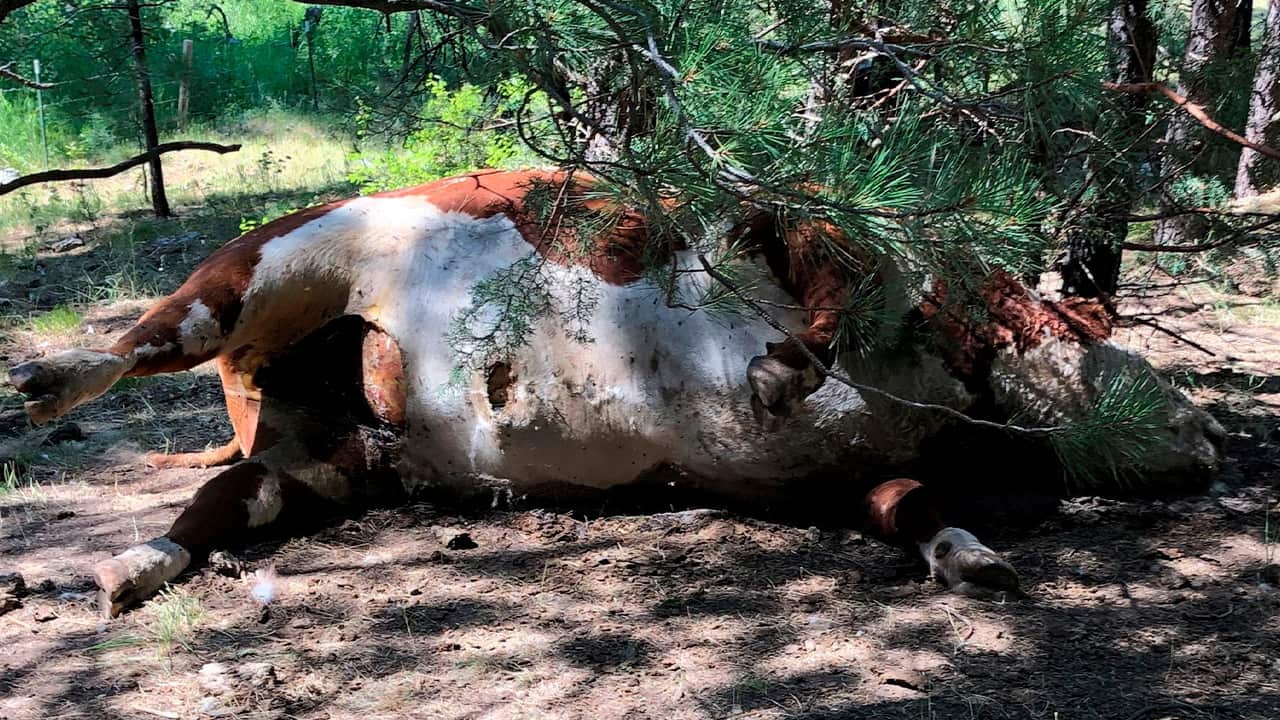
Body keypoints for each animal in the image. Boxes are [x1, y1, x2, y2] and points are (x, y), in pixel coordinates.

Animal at [7, 169, 1225, 617]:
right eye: (1100, 335)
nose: (1209, 437)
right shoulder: (803, 222)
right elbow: (822, 295)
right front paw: (780, 368)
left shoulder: (849, 481)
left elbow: (913, 508)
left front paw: (973, 559)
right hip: (264, 269)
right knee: (148, 338)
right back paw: (46, 379)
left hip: (328, 459)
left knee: (222, 504)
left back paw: (127, 570)